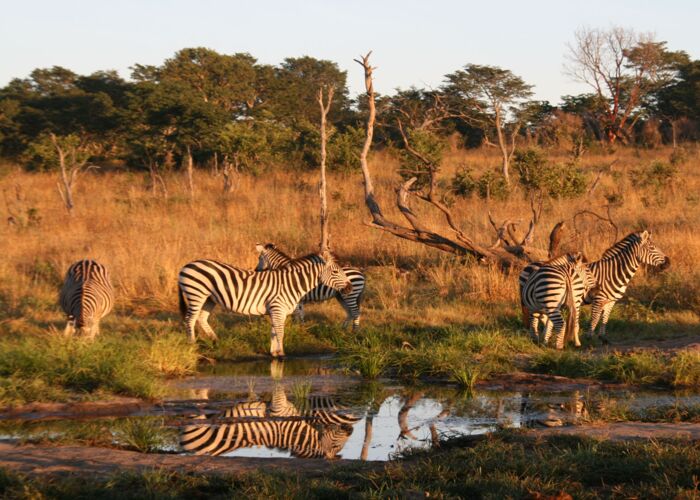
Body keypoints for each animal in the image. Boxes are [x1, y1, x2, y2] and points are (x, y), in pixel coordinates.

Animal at [178, 252, 352, 356]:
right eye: (335, 272)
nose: (349, 287)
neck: (292, 284)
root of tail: (186, 265)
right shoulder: (278, 308)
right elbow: (280, 332)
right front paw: (281, 354)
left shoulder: (276, 311)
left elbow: (274, 331)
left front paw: (274, 353)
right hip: (196, 294)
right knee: (189, 320)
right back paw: (192, 345)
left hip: (209, 298)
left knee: (201, 318)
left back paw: (215, 340)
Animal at [180, 383, 360, 459]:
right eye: (335, 446)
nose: (351, 429)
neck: (292, 431)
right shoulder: (280, 408)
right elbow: (279, 391)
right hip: (197, 419)